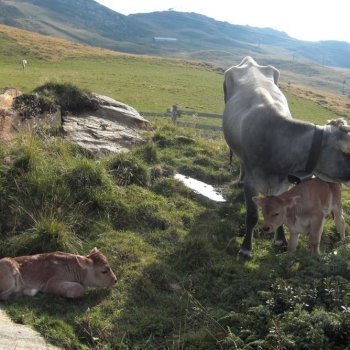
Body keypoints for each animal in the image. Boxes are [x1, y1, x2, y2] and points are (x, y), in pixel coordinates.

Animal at [223, 57, 350, 258]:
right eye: (345, 150)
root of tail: (250, 61)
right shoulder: (253, 182)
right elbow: (252, 216)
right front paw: (245, 248)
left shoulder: (283, 184)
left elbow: (282, 210)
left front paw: (280, 240)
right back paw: (240, 179)